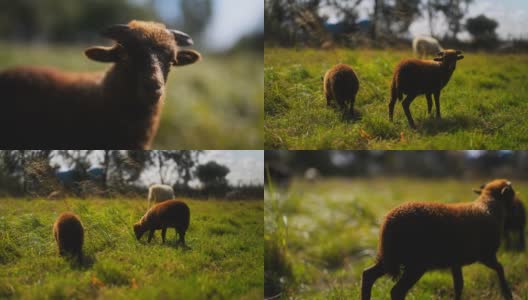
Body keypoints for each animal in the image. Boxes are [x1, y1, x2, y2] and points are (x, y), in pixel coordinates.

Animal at [360, 179, 512, 298]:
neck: (489, 207)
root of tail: (389, 221)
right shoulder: (486, 255)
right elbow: (500, 268)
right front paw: (507, 293)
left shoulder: (456, 262)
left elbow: (459, 286)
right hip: (415, 263)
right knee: (397, 291)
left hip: (390, 257)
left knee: (368, 275)